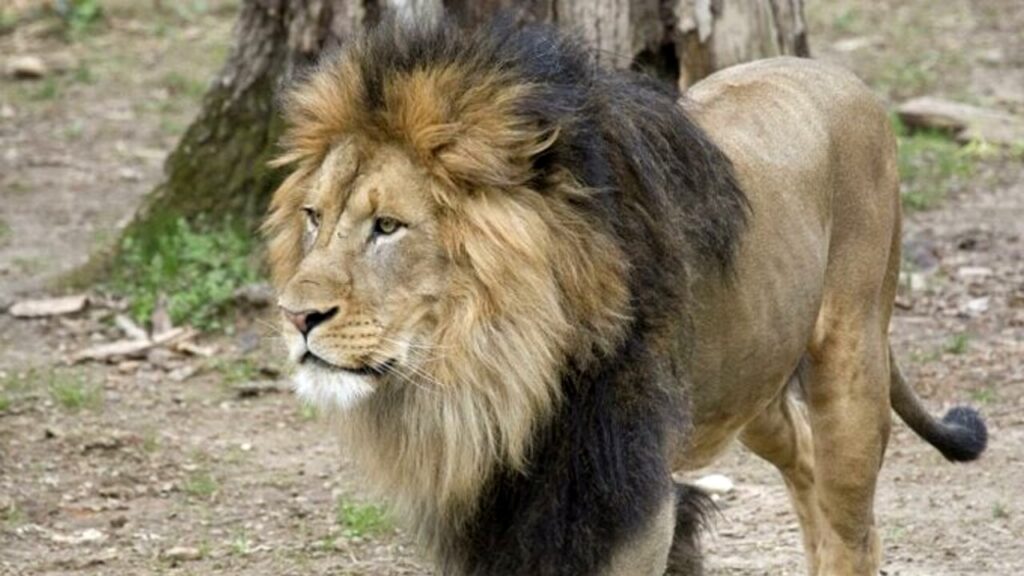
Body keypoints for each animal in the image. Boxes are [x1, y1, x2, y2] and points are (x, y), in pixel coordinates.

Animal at [263, 16, 988, 576]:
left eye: (387, 227)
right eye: (313, 218)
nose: (296, 316)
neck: (494, 374)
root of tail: (842, 78)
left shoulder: (623, 499)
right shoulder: (499, 510)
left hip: (850, 363)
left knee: (852, 530)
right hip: (751, 386)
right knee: (806, 466)